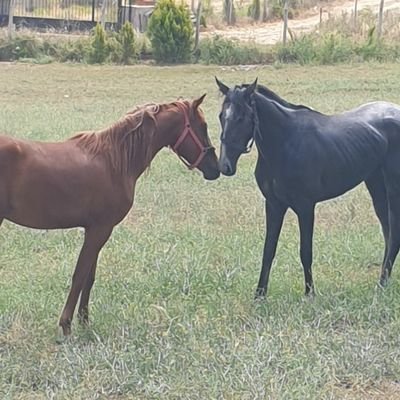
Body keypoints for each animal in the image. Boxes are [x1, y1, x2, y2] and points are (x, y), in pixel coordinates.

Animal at [0, 95, 219, 336]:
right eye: (203, 126)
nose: (215, 168)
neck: (114, 160)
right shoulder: (100, 230)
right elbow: (79, 276)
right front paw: (66, 325)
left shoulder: (95, 230)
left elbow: (89, 277)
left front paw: (84, 321)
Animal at [217, 78, 400, 296]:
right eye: (221, 116)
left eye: (242, 117)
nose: (225, 165)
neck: (285, 143)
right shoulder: (273, 205)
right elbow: (268, 250)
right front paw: (259, 294)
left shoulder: (305, 207)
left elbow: (305, 251)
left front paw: (310, 293)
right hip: (376, 185)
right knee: (388, 232)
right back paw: (383, 281)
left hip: (392, 186)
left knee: (394, 233)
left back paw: (381, 285)